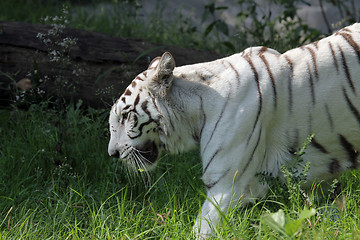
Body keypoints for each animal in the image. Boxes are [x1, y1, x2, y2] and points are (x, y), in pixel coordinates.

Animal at [108, 23, 360, 237]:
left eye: (126, 116)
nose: (112, 154)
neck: (195, 110)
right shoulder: (320, 180)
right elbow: (330, 211)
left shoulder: (226, 182)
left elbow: (203, 228)